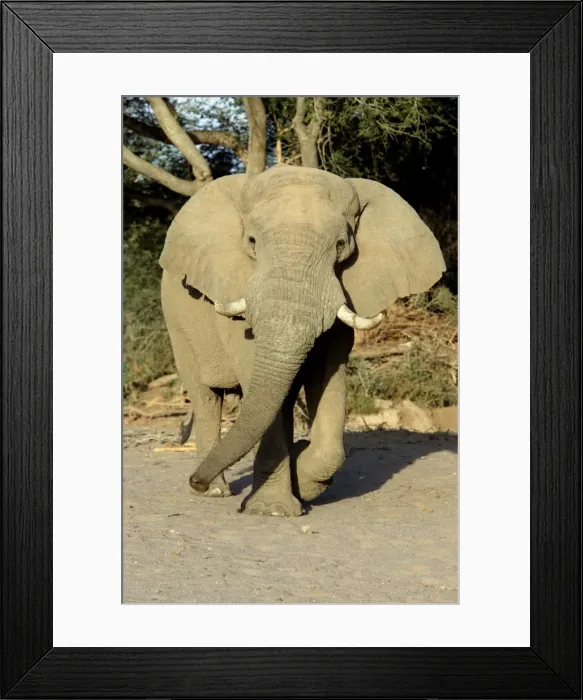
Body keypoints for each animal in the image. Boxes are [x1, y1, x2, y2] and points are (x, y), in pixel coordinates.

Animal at [158, 164, 445, 516]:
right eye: (251, 241)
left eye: (340, 245)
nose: (194, 480)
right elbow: (255, 374)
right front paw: (272, 510)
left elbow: (326, 374)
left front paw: (301, 477)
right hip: (176, 322)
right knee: (206, 396)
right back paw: (214, 491)